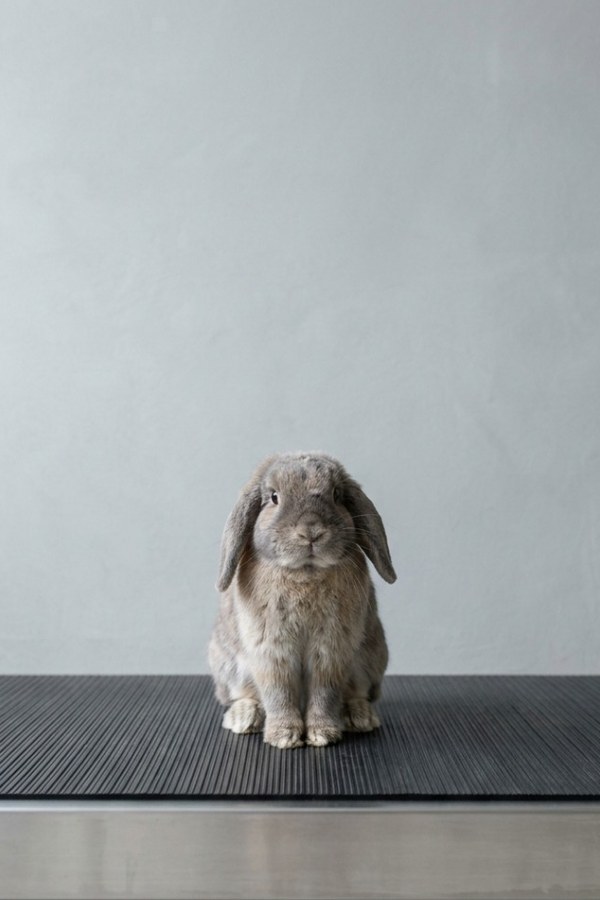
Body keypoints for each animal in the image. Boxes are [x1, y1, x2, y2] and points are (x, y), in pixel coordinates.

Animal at [208, 451, 396, 749]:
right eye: (274, 497)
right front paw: (284, 736)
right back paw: (244, 718)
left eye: (336, 494)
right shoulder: (272, 652)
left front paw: (322, 734)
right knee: (243, 695)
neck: (305, 573)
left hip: (371, 661)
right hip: (228, 666)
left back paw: (359, 717)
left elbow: (324, 694)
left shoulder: (330, 652)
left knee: (357, 693)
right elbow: (279, 694)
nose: (311, 531)